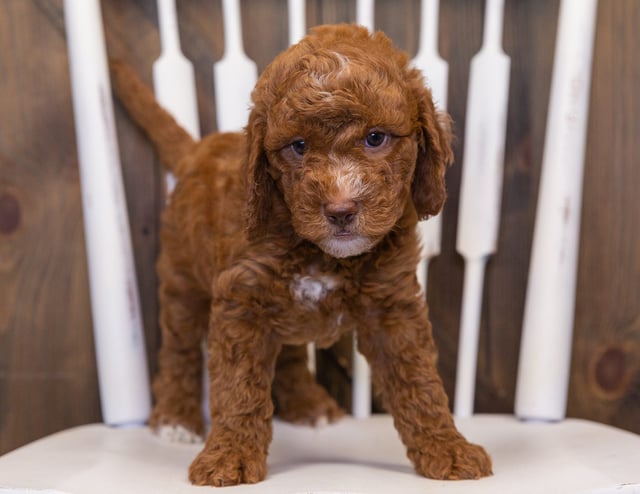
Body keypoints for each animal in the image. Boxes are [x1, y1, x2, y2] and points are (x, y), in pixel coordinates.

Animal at [110, 23, 492, 486]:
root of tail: (197, 150)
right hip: (182, 275)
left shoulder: (393, 306)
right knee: (179, 347)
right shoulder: (241, 298)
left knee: (288, 349)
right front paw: (229, 457)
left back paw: (309, 404)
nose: (340, 210)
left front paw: (448, 449)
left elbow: (418, 382)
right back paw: (176, 418)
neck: (323, 254)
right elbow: (237, 387)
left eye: (376, 138)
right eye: (298, 146)